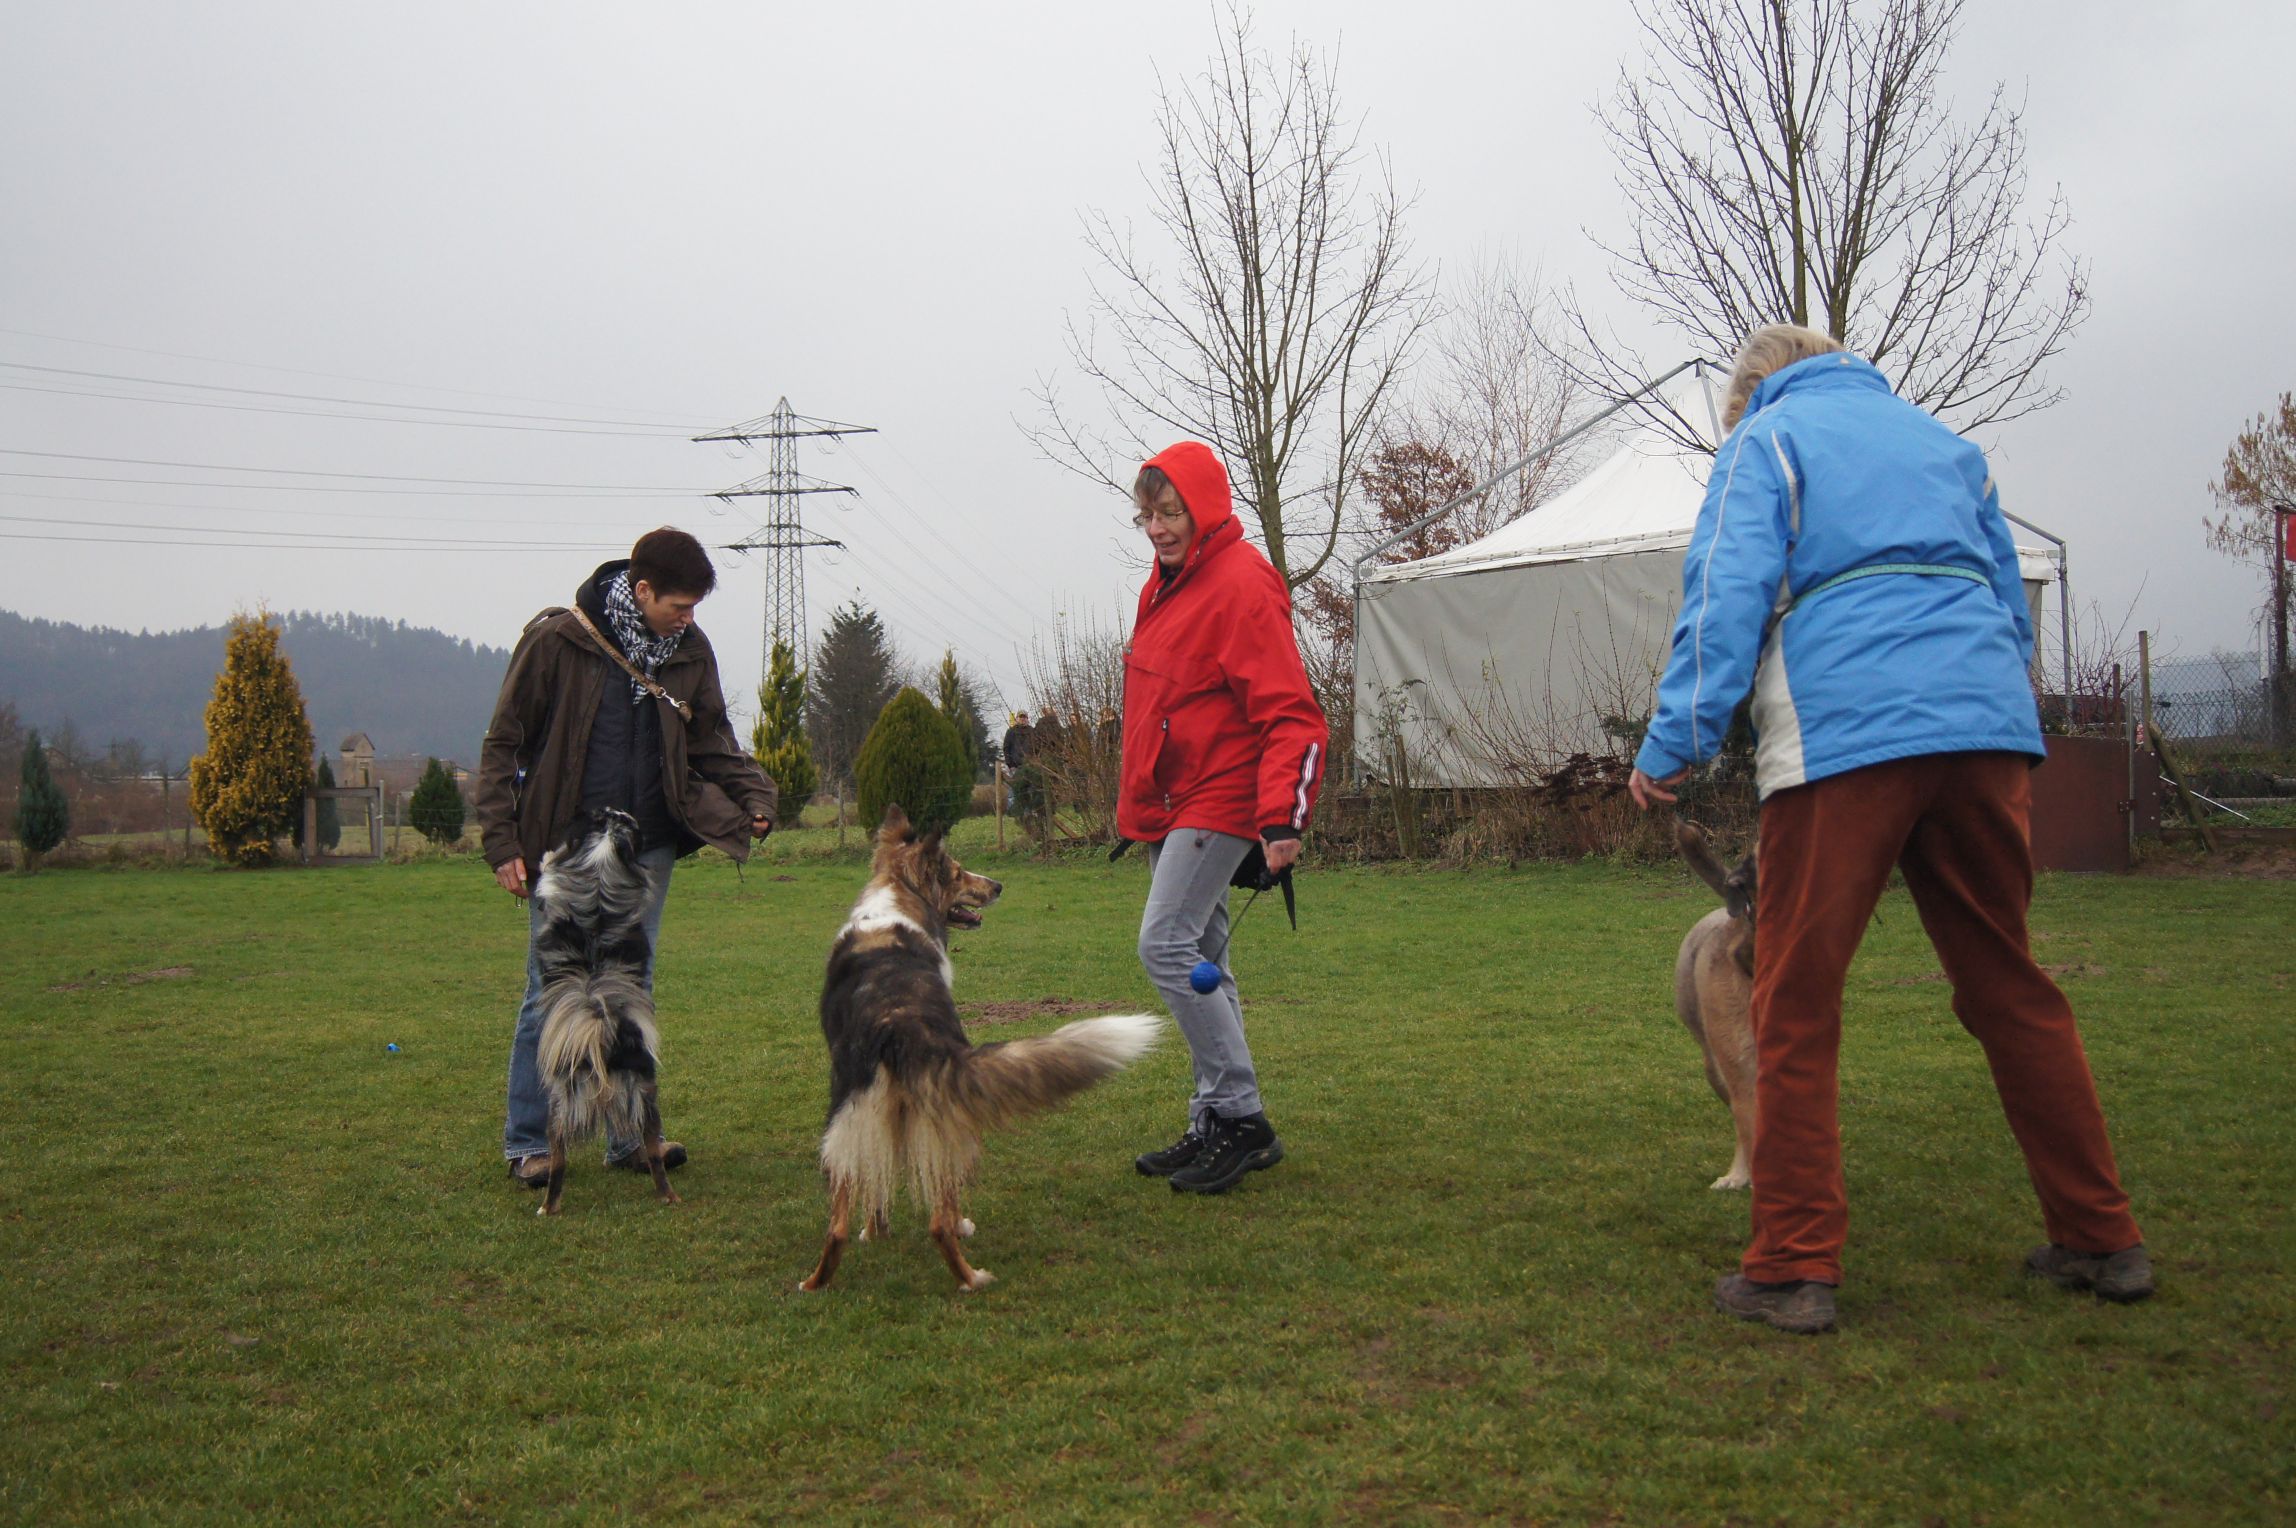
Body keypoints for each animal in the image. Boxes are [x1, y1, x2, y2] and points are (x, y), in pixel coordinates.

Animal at [803, 803, 1166, 1293]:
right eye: (956, 872)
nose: (997, 886)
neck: (899, 896)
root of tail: (896, 1024)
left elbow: (877, 1188)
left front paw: (875, 1232)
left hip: (849, 1117)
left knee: (837, 1226)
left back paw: (815, 1283)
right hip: (948, 1119)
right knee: (939, 1220)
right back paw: (971, 1272)